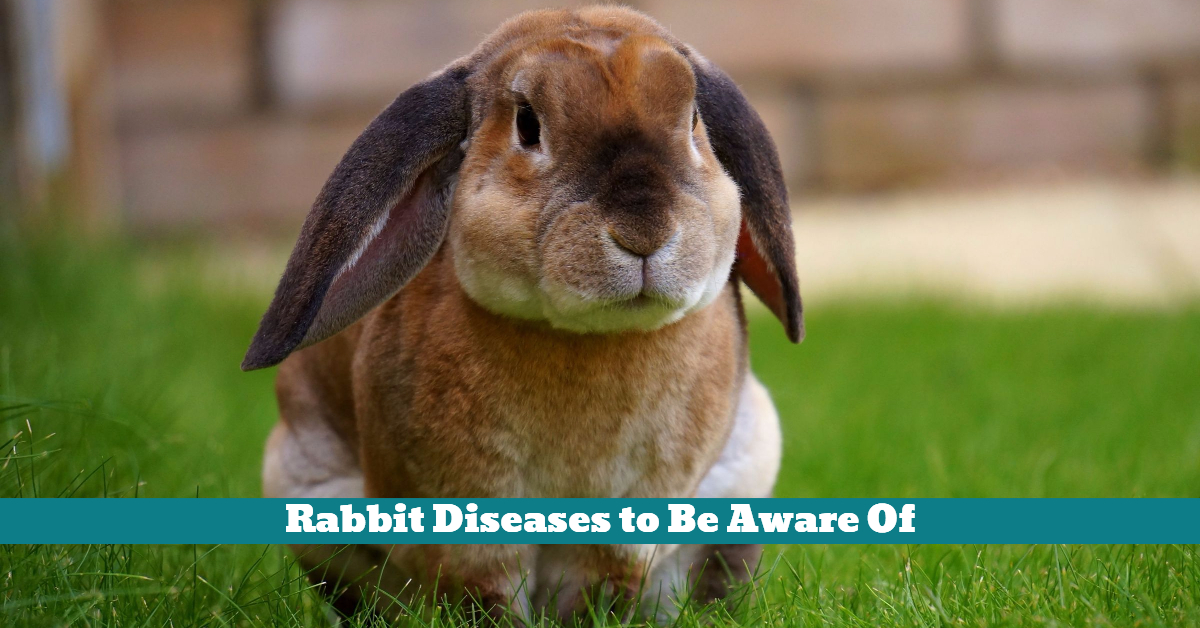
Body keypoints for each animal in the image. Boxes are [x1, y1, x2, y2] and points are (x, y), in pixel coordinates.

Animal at [245, 5, 802, 622]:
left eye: (694, 120)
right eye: (528, 125)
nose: (644, 232)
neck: (586, 338)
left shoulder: (631, 520)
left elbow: (599, 588)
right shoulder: (466, 518)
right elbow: (484, 592)